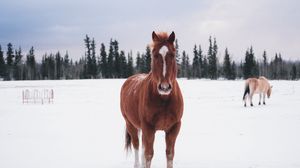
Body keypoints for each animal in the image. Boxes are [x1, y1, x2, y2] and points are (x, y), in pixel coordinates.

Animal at [120, 31, 184, 168]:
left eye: (172, 55)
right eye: (154, 55)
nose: (164, 87)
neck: (164, 100)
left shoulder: (174, 128)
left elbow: (169, 154)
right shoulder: (148, 128)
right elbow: (149, 155)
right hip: (131, 124)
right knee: (137, 145)